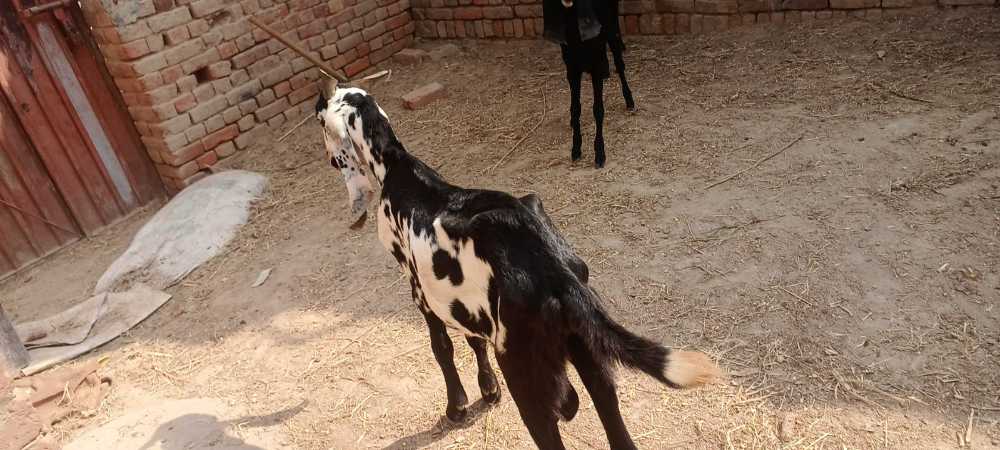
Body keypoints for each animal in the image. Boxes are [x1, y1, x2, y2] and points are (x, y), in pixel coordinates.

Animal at [315, 81, 718, 450]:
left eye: (322, 120)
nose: (331, 160)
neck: (396, 165)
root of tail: (558, 276)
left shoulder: (419, 290)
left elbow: (441, 348)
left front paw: (457, 407)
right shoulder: (467, 305)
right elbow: (473, 339)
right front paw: (488, 390)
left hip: (524, 375)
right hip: (590, 356)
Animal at [543, 0, 636, 168]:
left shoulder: (595, 64)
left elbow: (598, 109)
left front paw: (599, 153)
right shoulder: (571, 67)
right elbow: (575, 108)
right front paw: (576, 149)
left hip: (612, 27)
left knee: (619, 63)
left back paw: (629, 100)